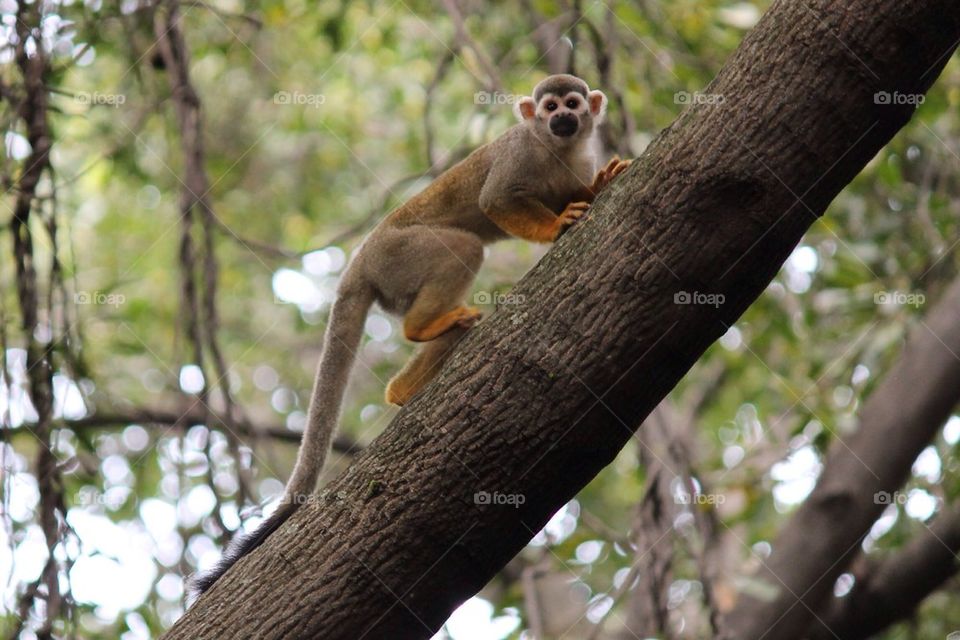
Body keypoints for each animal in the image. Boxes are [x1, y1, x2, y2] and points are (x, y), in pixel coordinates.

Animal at [190, 75, 632, 600]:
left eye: (573, 104)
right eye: (548, 108)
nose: (561, 118)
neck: (557, 148)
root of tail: (359, 262)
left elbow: (574, 190)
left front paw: (597, 186)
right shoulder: (519, 151)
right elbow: (495, 202)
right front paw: (556, 225)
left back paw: (407, 384)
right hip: (400, 256)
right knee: (465, 244)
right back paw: (421, 329)